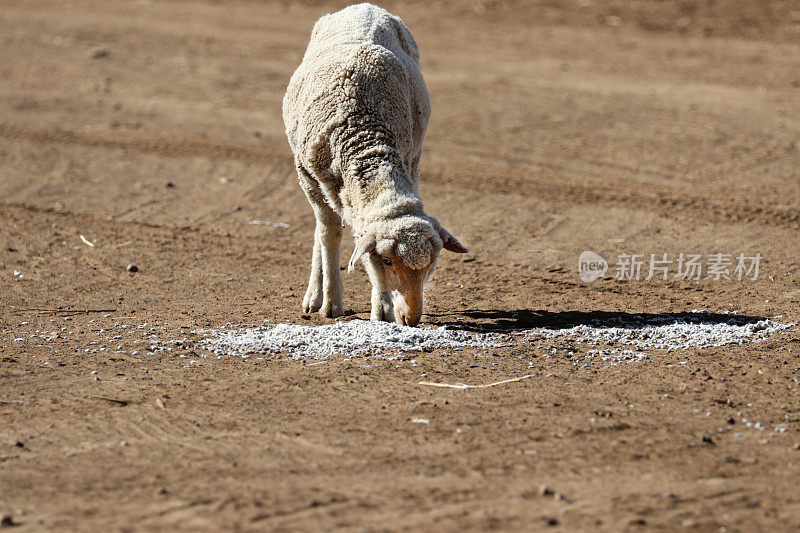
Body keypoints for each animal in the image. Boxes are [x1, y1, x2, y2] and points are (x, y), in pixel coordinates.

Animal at [282, 4, 466, 326]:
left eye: (431, 264)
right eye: (388, 261)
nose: (411, 318)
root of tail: (365, 7)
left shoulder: (409, 160)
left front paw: (381, 308)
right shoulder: (307, 175)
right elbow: (330, 235)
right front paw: (332, 303)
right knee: (322, 227)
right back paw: (314, 295)